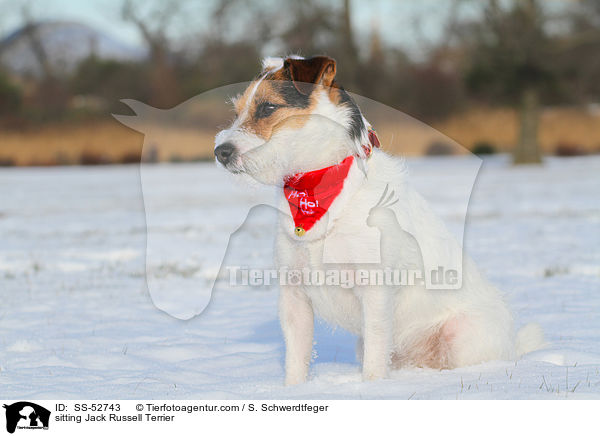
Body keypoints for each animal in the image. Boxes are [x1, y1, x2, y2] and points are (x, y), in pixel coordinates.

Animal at [214, 55, 544, 384]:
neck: (318, 185)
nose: (220, 152)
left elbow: (375, 355)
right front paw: (293, 390)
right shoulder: (294, 295)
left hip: (461, 336)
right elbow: (297, 358)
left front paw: (373, 390)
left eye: (268, 108)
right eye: (237, 112)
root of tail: (512, 346)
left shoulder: (375, 291)